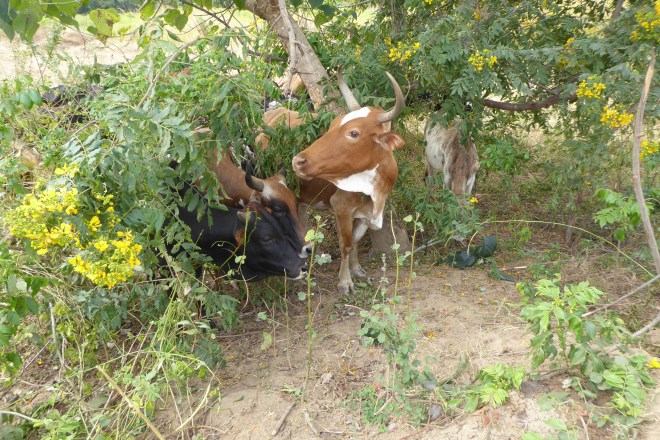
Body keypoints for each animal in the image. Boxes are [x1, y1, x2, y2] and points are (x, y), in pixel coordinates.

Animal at [292, 70, 406, 294]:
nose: (298, 161)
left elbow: (355, 240)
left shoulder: (364, 213)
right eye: (333, 124)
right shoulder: (342, 207)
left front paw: (357, 270)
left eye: (353, 133)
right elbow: (345, 244)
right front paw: (345, 281)